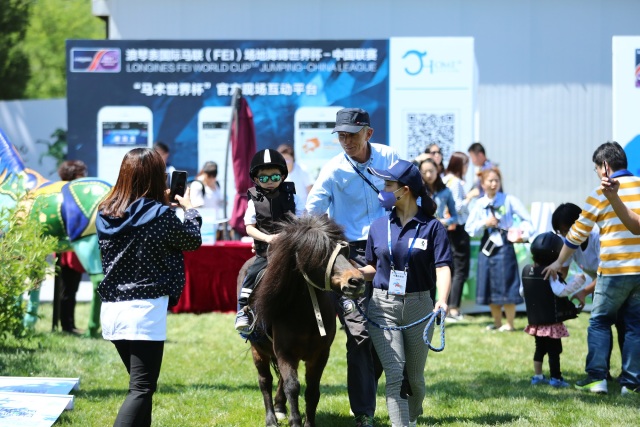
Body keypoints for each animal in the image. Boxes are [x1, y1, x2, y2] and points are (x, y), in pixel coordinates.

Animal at [0, 129, 111, 336]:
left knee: (99, 282)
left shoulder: (12, 248)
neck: (9, 184)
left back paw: (91, 331)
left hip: (87, 244)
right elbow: (34, 282)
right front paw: (26, 324)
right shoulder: (33, 250)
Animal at [238, 216, 364, 427]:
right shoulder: (285, 353)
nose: (356, 280)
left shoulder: (320, 355)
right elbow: (292, 387)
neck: (306, 313)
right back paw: (271, 418)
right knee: (265, 381)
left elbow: (312, 390)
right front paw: (295, 421)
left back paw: (280, 409)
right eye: (321, 254)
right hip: (259, 350)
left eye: (345, 251)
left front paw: (308, 422)